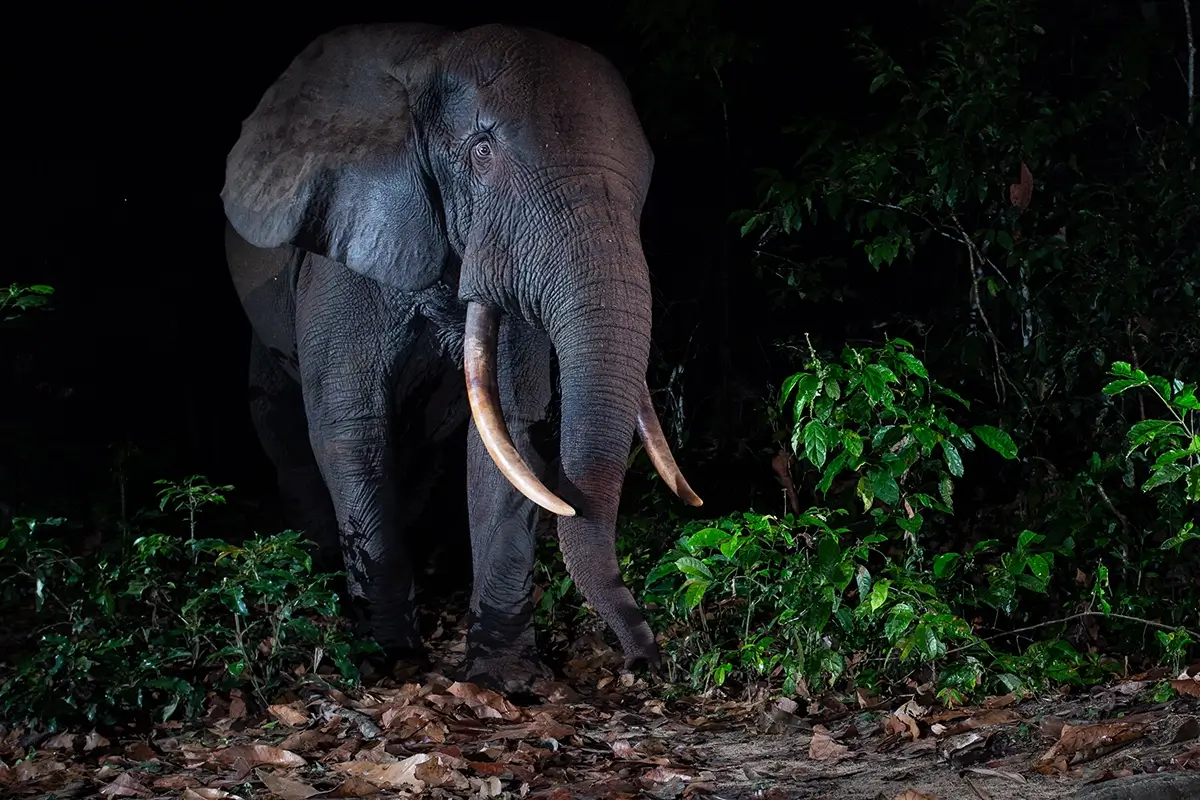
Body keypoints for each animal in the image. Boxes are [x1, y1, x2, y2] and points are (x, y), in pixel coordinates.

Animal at [223, 20, 700, 695]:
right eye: (480, 151)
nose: (644, 664)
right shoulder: (345, 245)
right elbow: (350, 427)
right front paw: (389, 660)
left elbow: (509, 436)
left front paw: (505, 678)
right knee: (284, 426)